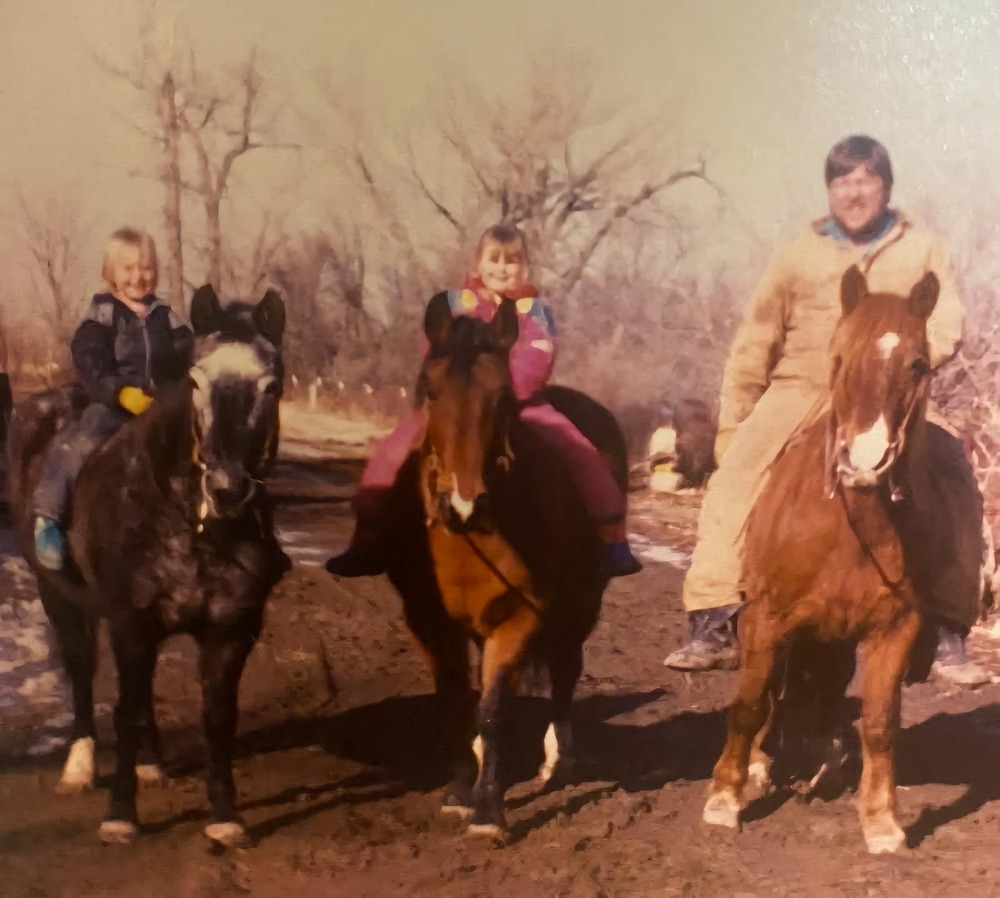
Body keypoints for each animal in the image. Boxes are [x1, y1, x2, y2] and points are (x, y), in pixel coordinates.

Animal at [6, 284, 290, 844]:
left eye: (271, 386)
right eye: (196, 381)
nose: (226, 490)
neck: (190, 522)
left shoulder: (231, 629)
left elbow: (217, 717)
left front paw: (225, 817)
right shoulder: (130, 622)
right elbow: (128, 710)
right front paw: (120, 814)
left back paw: (150, 763)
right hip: (59, 597)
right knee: (82, 671)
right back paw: (80, 766)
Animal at [378, 292, 620, 832]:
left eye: (505, 399)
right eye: (430, 391)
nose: (465, 505)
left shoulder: (521, 618)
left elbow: (493, 710)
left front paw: (488, 807)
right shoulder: (429, 621)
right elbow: (454, 703)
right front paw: (457, 789)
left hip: (581, 607)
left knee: (565, 673)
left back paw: (560, 760)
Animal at [708, 266, 988, 856]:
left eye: (918, 364)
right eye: (837, 358)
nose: (863, 462)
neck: (851, 529)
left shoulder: (895, 627)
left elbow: (880, 720)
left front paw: (881, 821)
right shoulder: (767, 616)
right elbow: (749, 703)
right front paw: (723, 799)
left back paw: (822, 760)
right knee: (769, 693)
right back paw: (765, 765)